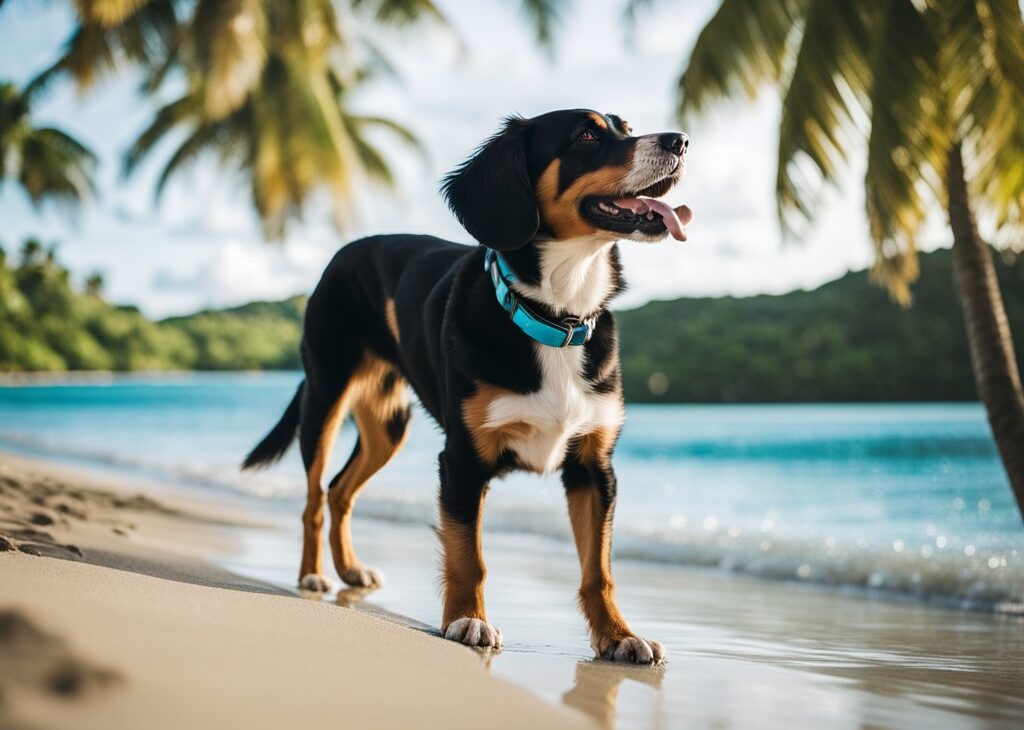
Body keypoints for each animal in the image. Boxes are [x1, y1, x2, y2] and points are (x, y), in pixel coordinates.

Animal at [240, 106, 692, 659]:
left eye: (626, 128)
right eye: (586, 135)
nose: (680, 140)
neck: (556, 313)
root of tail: (347, 251)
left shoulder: (593, 468)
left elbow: (598, 569)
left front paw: (619, 635)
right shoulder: (462, 460)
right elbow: (468, 556)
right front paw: (467, 621)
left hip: (389, 425)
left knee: (340, 491)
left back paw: (350, 568)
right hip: (325, 398)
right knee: (313, 498)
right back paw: (312, 576)